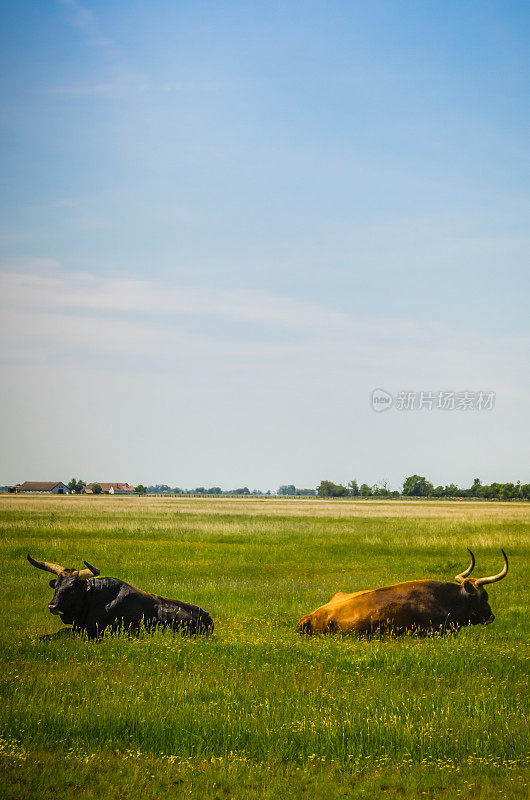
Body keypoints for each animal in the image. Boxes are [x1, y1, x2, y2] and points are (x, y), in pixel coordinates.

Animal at [26, 552, 212, 640]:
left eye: (72, 588)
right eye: (56, 586)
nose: (52, 606)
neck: (93, 598)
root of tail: (207, 617)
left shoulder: (94, 632)